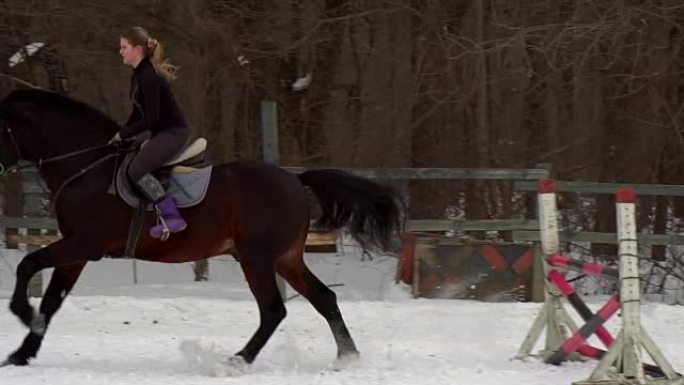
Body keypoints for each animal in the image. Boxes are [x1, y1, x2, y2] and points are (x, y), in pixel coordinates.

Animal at [0, 90, 400, 368]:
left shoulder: (83, 244)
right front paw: (23, 351)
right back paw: (347, 357)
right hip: (286, 259)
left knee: (274, 310)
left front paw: (23, 314)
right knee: (324, 298)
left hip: (256, 259)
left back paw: (236, 361)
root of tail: (296, 181)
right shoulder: (76, 252)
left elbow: (28, 265)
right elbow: (52, 300)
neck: (87, 168)